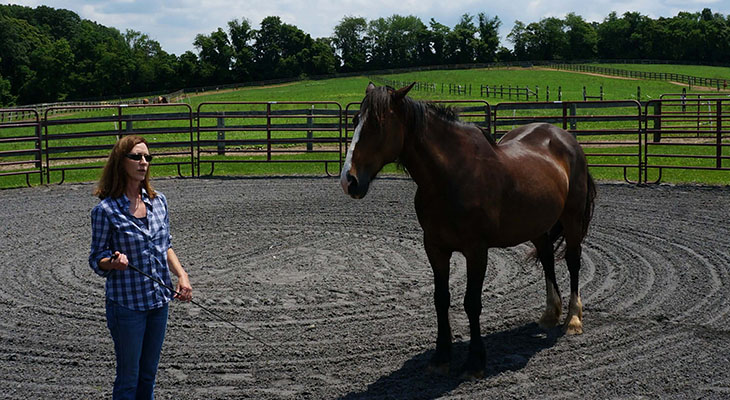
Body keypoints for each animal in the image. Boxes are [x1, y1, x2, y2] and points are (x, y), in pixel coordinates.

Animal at [340, 83, 596, 378]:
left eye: (378, 124)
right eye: (355, 121)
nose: (349, 180)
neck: (451, 176)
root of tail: (565, 137)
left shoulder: (476, 251)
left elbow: (471, 303)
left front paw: (475, 361)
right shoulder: (435, 248)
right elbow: (441, 299)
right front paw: (441, 357)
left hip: (572, 218)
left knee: (573, 261)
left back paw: (573, 319)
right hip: (537, 225)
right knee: (547, 260)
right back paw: (550, 314)